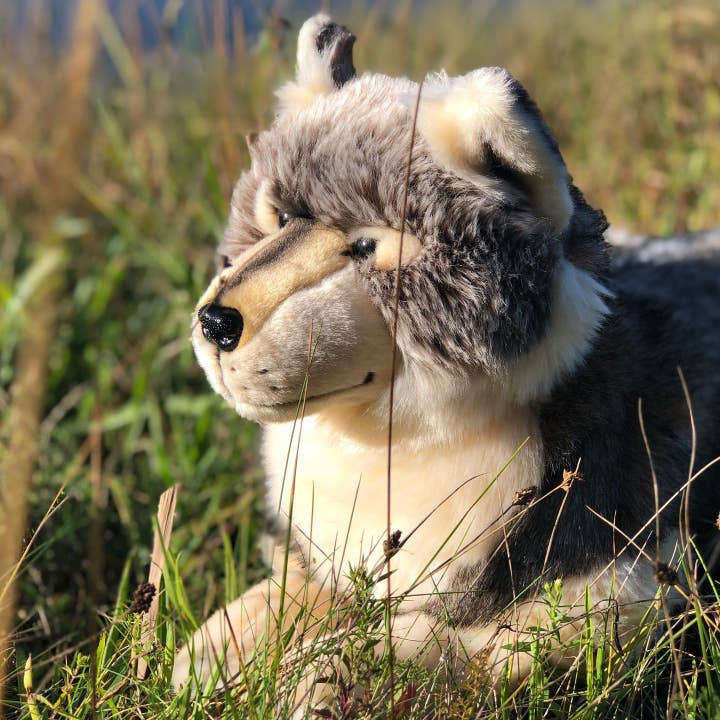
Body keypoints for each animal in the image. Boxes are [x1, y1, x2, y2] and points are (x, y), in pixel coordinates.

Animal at [173, 13, 720, 712]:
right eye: (283, 215)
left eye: (366, 246)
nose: (216, 323)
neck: (397, 448)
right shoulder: (320, 559)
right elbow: (260, 609)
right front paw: (199, 659)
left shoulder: (625, 584)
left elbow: (409, 645)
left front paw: (314, 679)